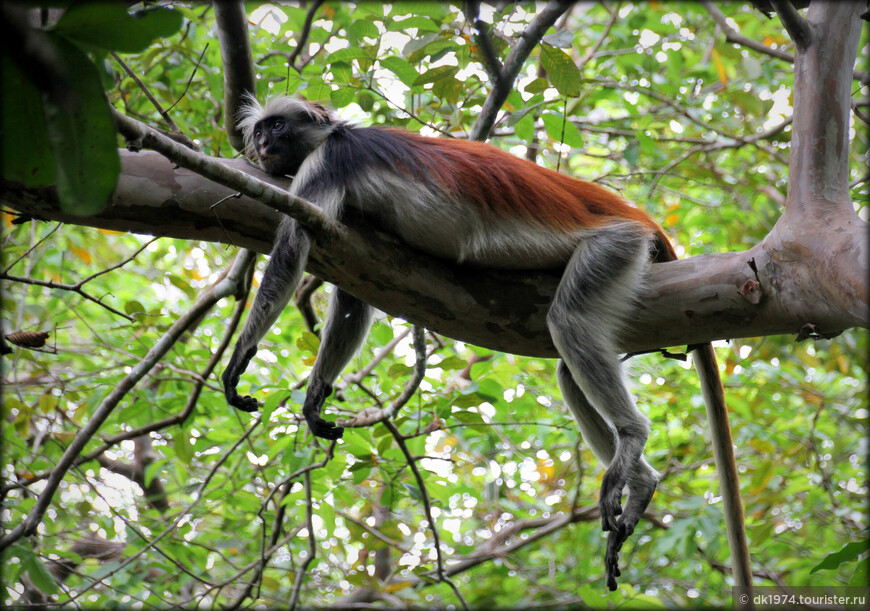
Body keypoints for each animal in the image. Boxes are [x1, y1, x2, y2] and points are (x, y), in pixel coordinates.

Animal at [225, 97, 688, 592]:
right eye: (259, 132)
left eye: (276, 126)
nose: (262, 145)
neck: (336, 135)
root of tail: (632, 217)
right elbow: (353, 295)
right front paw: (315, 397)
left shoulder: (325, 165)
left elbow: (294, 247)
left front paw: (237, 362)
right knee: (569, 368)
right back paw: (642, 483)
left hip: (614, 247)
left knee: (568, 322)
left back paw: (632, 436)